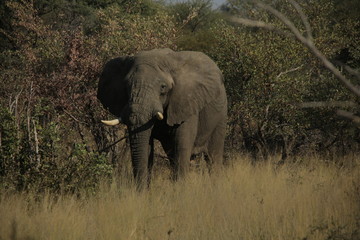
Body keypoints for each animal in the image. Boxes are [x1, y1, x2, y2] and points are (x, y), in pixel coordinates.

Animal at [97, 48, 228, 188]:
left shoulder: (186, 102)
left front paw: (181, 191)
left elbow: (182, 145)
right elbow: (147, 147)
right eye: (126, 86)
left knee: (213, 156)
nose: (139, 190)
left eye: (163, 87)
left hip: (221, 114)